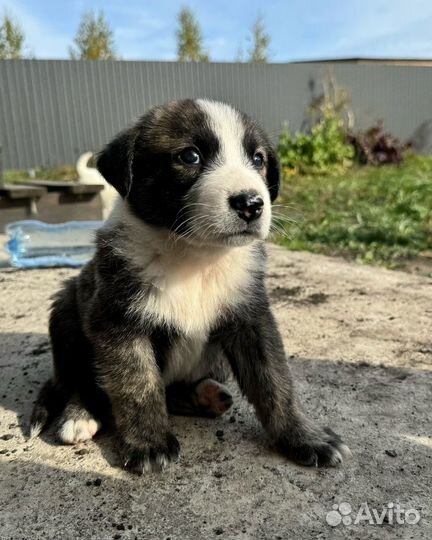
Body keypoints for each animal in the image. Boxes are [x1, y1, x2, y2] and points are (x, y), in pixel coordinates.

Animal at [30, 98, 350, 472]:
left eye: (258, 159)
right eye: (190, 156)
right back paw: (80, 414)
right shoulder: (116, 321)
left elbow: (275, 380)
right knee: (80, 380)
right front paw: (149, 442)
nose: (251, 204)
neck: (194, 257)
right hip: (66, 310)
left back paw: (204, 397)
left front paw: (302, 435)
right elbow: (136, 383)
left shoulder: (252, 317)